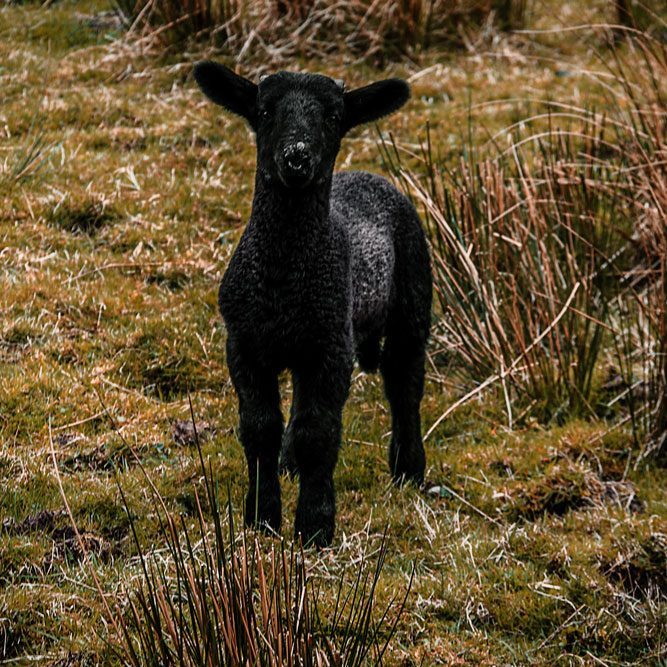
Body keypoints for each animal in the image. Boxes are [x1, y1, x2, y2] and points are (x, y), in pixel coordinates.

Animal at [194, 62, 432, 547]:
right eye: (265, 111)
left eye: (334, 117)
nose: (297, 159)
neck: (283, 279)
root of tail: (368, 175)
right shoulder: (244, 344)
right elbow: (260, 427)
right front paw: (261, 517)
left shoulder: (330, 347)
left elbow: (318, 432)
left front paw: (315, 526)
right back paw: (289, 468)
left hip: (412, 300)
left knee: (404, 383)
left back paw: (408, 471)